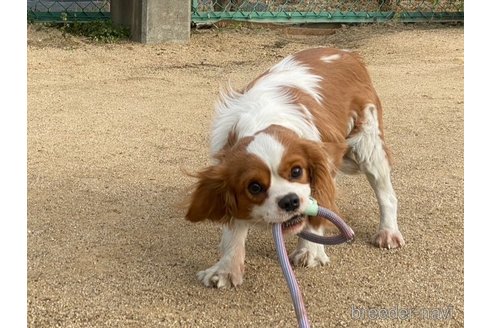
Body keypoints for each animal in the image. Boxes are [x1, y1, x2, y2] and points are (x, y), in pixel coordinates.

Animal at [184, 47, 404, 288]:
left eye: (297, 171)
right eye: (254, 187)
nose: (289, 201)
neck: (264, 120)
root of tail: (347, 53)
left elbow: (316, 211)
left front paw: (310, 252)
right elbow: (234, 229)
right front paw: (226, 268)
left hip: (369, 146)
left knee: (387, 195)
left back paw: (388, 232)